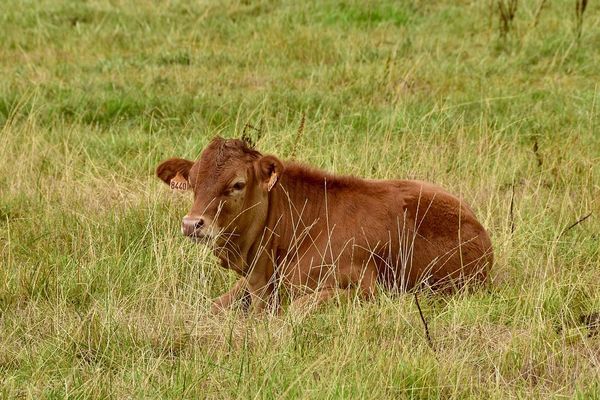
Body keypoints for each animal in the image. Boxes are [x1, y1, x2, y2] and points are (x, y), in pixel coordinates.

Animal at [157, 138, 494, 312]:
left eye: (237, 184)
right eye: (192, 182)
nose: (192, 224)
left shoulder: (365, 287)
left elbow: (297, 309)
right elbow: (214, 305)